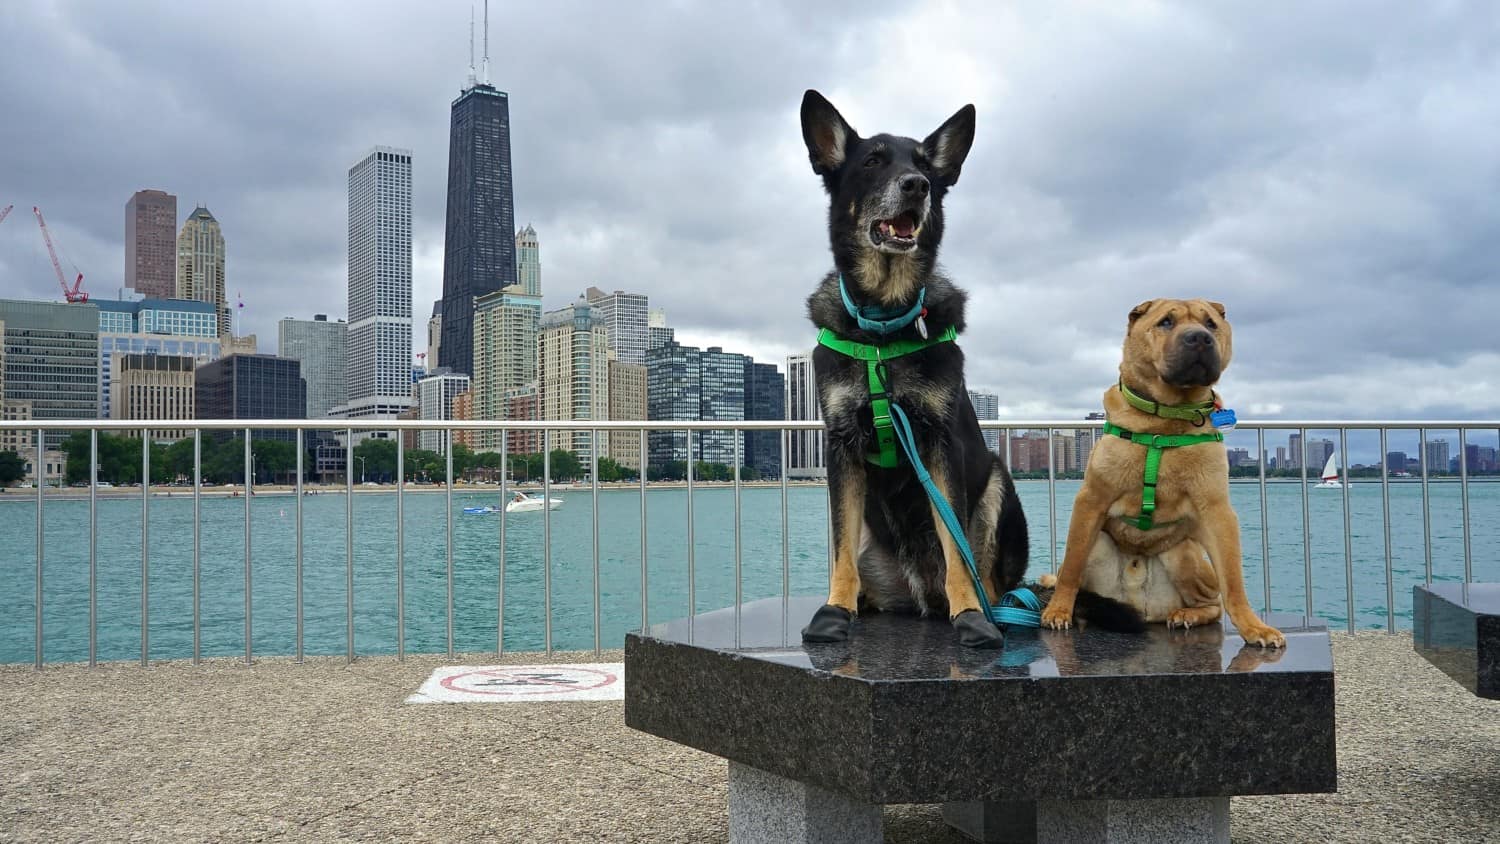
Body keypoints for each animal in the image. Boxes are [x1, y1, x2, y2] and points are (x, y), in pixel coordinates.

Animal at [798, 89, 1032, 650]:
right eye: (873, 161)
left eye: (926, 166)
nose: (917, 186)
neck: (883, 329)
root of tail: (918, 595)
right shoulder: (841, 445)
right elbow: (840, 549)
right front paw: (835, 609)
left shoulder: (938, 440)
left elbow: (955, 548)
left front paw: (970, 615)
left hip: (998, 482)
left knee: (985, 573)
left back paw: (987, 608)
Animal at [1044, 296, 1290, 647]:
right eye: (1165, 322)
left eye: (1211, 323)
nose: (1199, 338)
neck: (1165, 420)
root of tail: (1140, 607)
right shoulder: (1091, 501)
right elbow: (1071, 567)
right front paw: (1058, 610)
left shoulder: (1217, 511)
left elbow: (1233, 582)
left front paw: (1253, 626)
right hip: (1100, 543)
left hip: (1184, 554)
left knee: (1213, 604)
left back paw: (1188, 615)